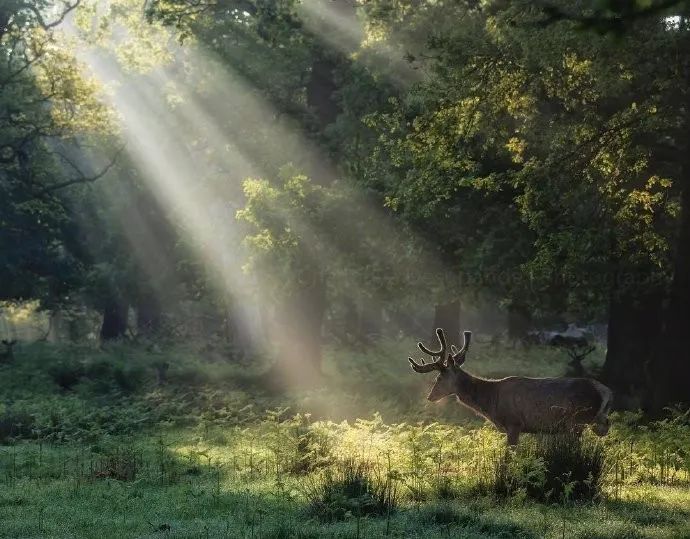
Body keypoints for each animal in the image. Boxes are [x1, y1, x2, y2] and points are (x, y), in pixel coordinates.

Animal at [406, 330, 612, 448]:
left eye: (439, 377)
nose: (430, 397)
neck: (491, 401)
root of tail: (605, 391)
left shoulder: (514, 423)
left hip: (577, 419)